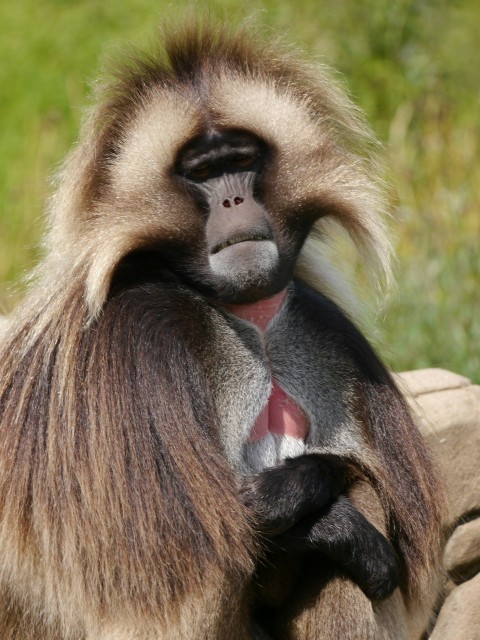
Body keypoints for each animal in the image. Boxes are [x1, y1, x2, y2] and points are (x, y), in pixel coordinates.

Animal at [0, 18, 444, 640]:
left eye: (243, 158)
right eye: (203, 173)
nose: (234, 199)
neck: (250, 324)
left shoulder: (323, 330)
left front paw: (302, 490)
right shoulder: (140, 343)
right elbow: (189, 567)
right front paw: (320, 520)